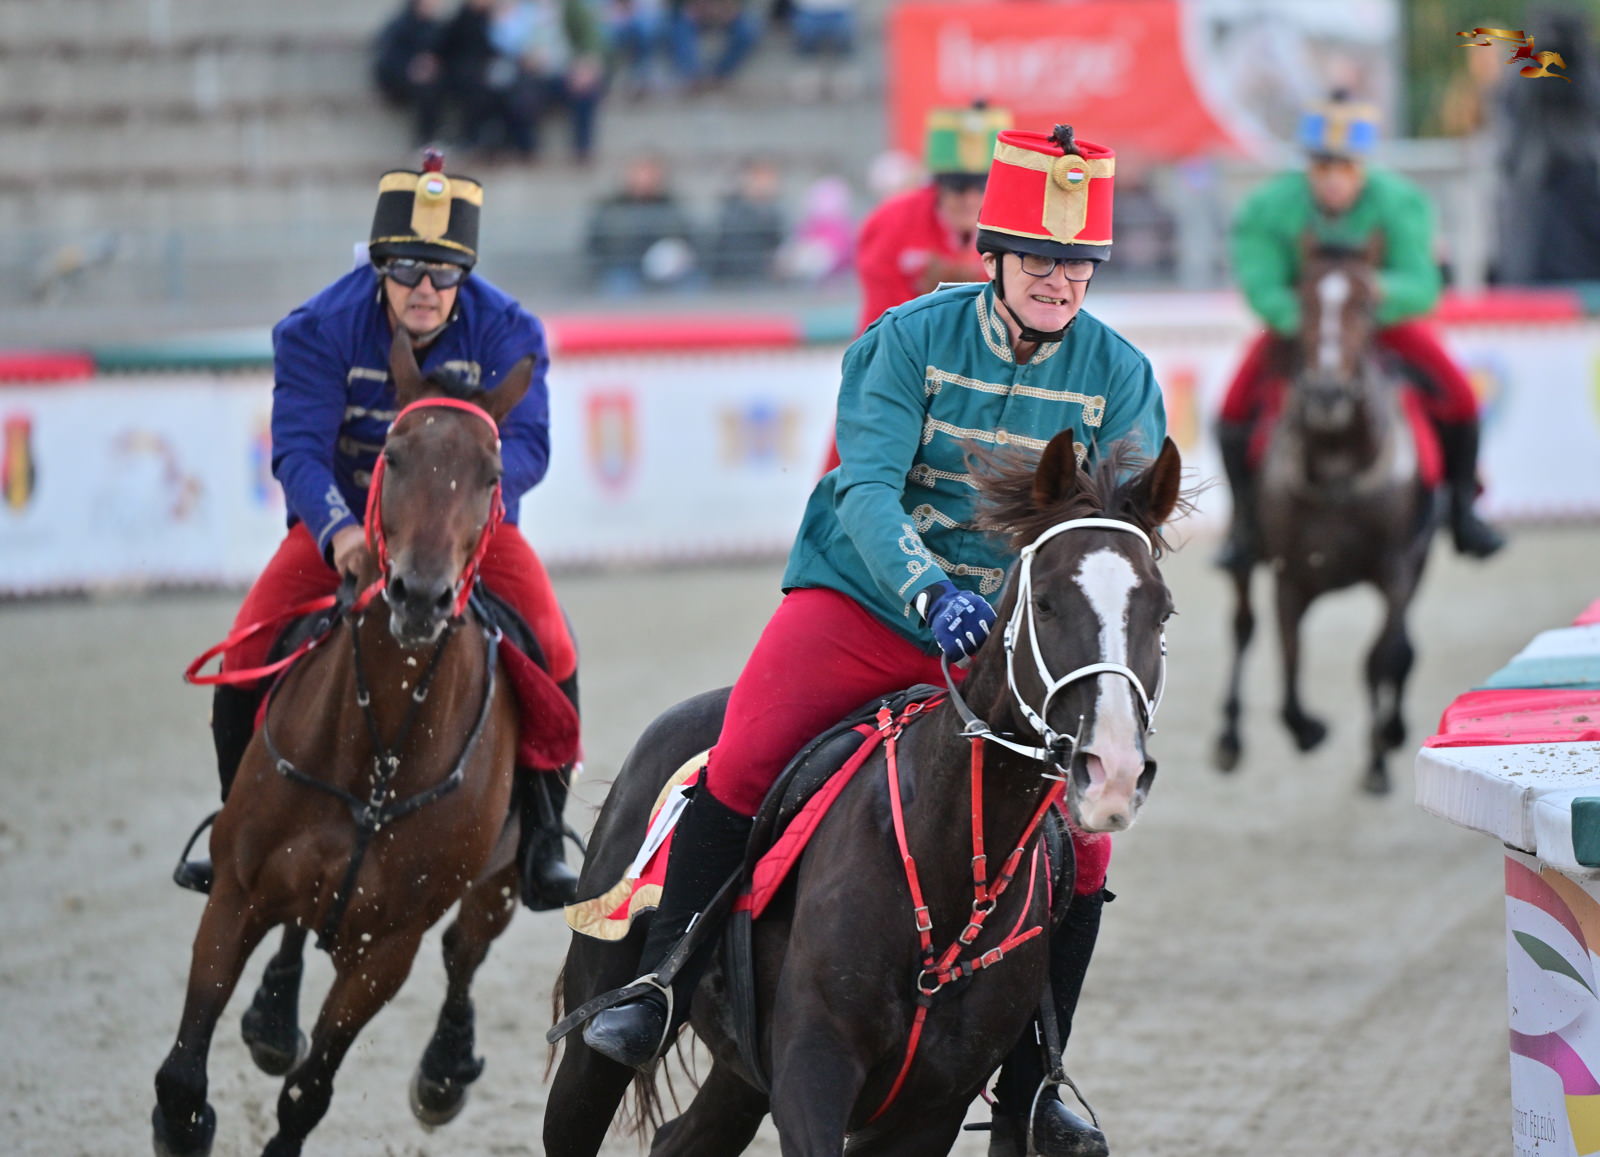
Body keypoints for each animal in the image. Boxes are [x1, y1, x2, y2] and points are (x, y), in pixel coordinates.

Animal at [1213, 239, 1440, 795]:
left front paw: (1380, 752)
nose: (1327, 393)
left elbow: (1383, 655)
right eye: (1304, 300)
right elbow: (1290, 664)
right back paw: (1229, 736)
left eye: (1367, 304)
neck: (1339, 468)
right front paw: (1309, 729)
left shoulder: (1400, 570)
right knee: (1243, 625)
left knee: (1400, 650)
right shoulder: (1290, 576)